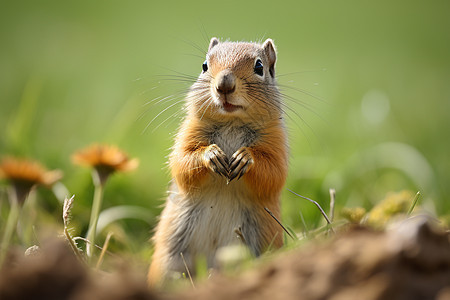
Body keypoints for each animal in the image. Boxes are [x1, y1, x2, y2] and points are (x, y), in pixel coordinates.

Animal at [148, 37, 288, 286]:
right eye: (204, 66)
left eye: (259, 67)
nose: (224, 85)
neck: (232, 122)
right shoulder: (188, 134)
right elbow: (182, 164)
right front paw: (211, 155)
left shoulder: (276, 143)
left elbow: (273, 173)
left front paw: (245, 157)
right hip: (169, 258)